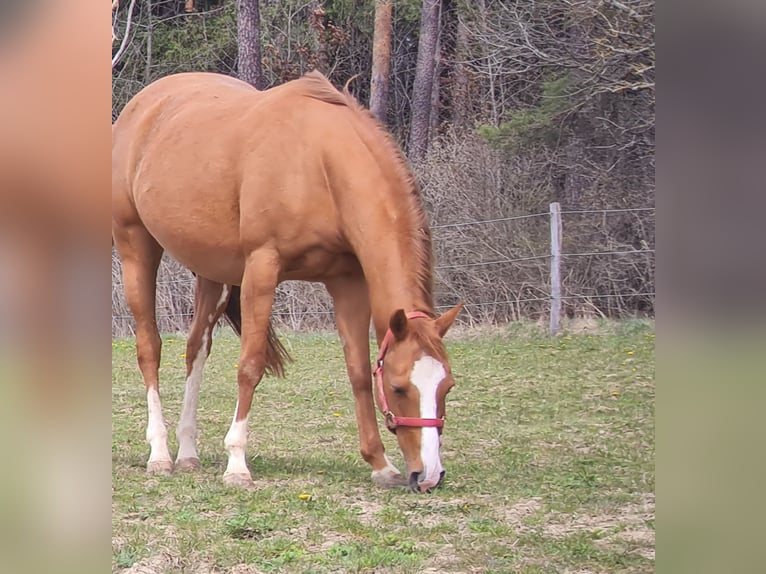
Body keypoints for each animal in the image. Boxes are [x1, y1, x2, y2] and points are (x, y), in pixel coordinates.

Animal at [112, 71, 462, 496]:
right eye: (398, 388)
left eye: (447, 387)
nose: (429, 476)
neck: (319, 161)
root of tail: (142, 105)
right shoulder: (262, 269)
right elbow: (250, 366)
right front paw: (237, 464)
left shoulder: (347, 283)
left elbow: (358, 371)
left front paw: (380, 464)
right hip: (136, 247)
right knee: (150, 348)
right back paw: (160, 454)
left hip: (212, 272)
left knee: (196, 349)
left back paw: (189, 453)